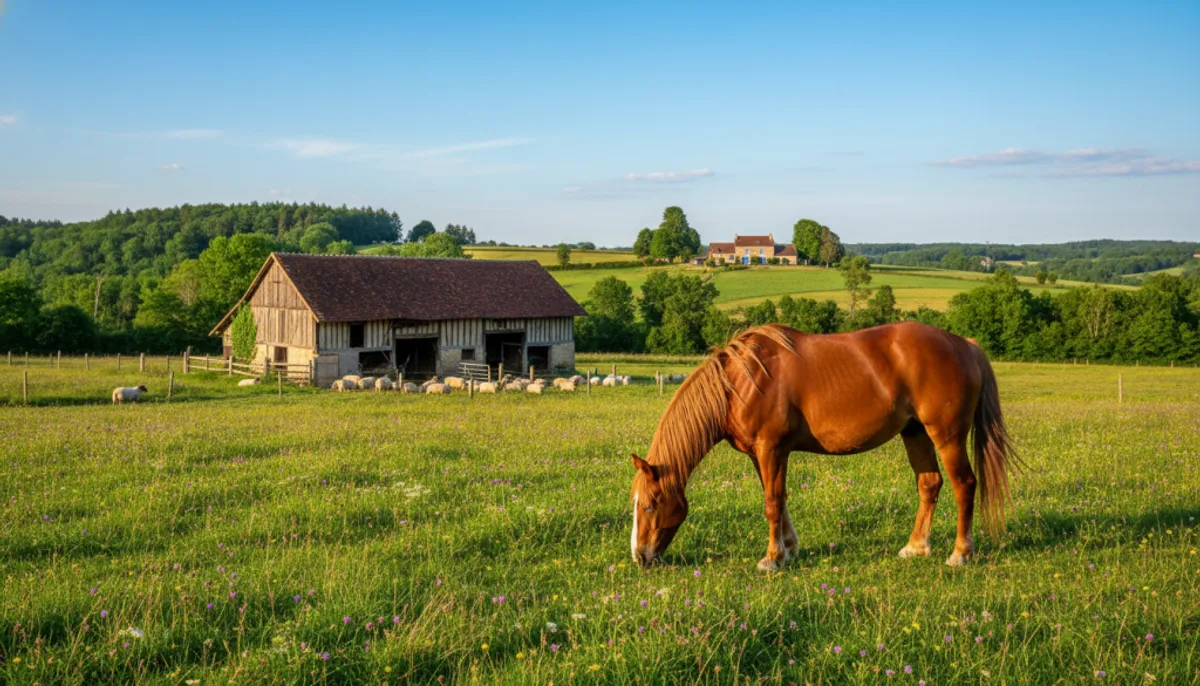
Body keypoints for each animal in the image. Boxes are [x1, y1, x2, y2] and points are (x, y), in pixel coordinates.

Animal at [629, 322, 1019, 572]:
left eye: (649, 505)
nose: (640, 557)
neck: (740, 382)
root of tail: (964, 343)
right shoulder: (763, 454)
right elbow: (779, 498)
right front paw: (788, 549)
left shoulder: (771, 448)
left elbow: (771, 503)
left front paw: (771, 559)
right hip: (915, 432)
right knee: (929, 484)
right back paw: (915, 546)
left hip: (946, 434)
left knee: (964, 485)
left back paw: (960, 553)